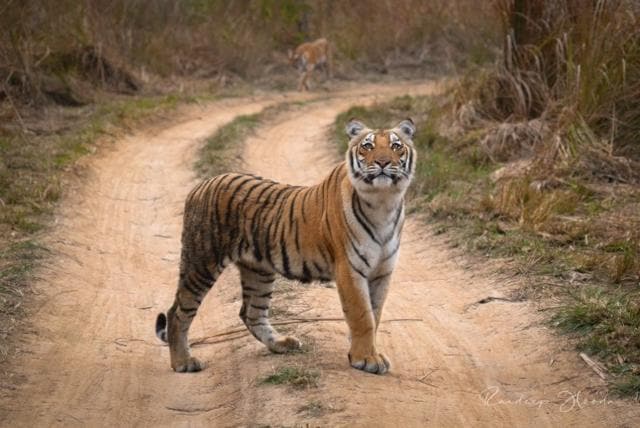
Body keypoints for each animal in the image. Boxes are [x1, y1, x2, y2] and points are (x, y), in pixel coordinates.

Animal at [155, 118, 417, 375]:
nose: (382, 163)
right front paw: (366, 358)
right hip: (202, 262)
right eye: (367, 146)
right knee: (177, 313)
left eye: (395, 146)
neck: (383, 201)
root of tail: (202, 185)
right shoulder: (349, 270)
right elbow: (363, 316)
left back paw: (281, 344)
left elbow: (375, 314)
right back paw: (183, 362)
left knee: (251, 312)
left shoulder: (382, 271)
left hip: (258, 270)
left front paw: (361, 351)